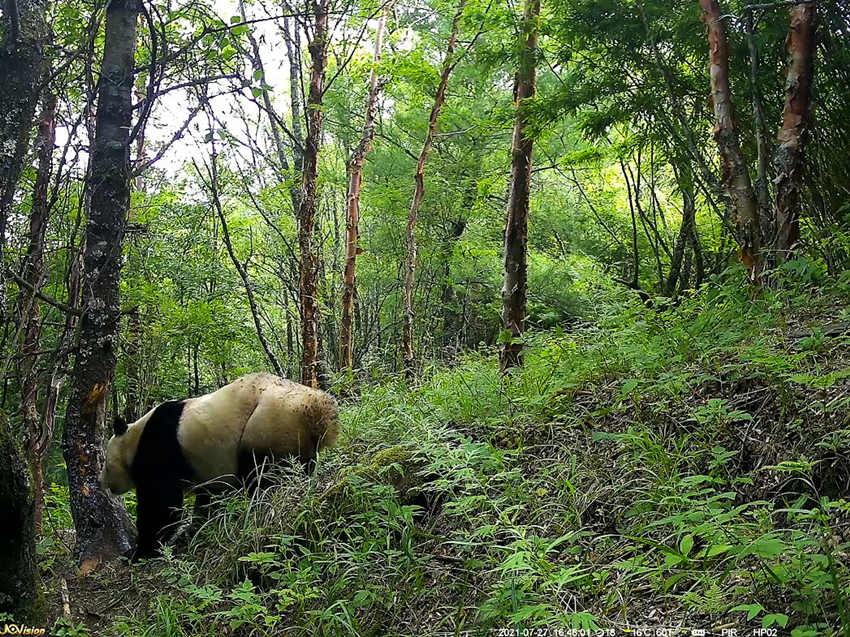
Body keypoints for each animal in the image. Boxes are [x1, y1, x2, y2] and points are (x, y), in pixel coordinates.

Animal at [99, 370, 338, 560]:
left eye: (106, 465)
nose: (104, 483)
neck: (135, 438)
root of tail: (316, 411)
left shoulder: (161, 448)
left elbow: (161, 504)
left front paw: (139, 551)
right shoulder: (205, 468)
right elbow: (208, 497)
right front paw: (196, 529)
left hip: (268, 423)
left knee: (262, 474)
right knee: (300, 468)